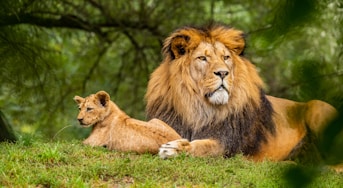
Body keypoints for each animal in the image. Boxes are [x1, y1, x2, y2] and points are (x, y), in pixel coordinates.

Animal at [146, 23, 338, 162]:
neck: (198, 107)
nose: (223, 73)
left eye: (225, 58)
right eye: (202, 58)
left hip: (317, 107)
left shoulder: (227, 144)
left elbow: (203, 146)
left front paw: (175, 149)